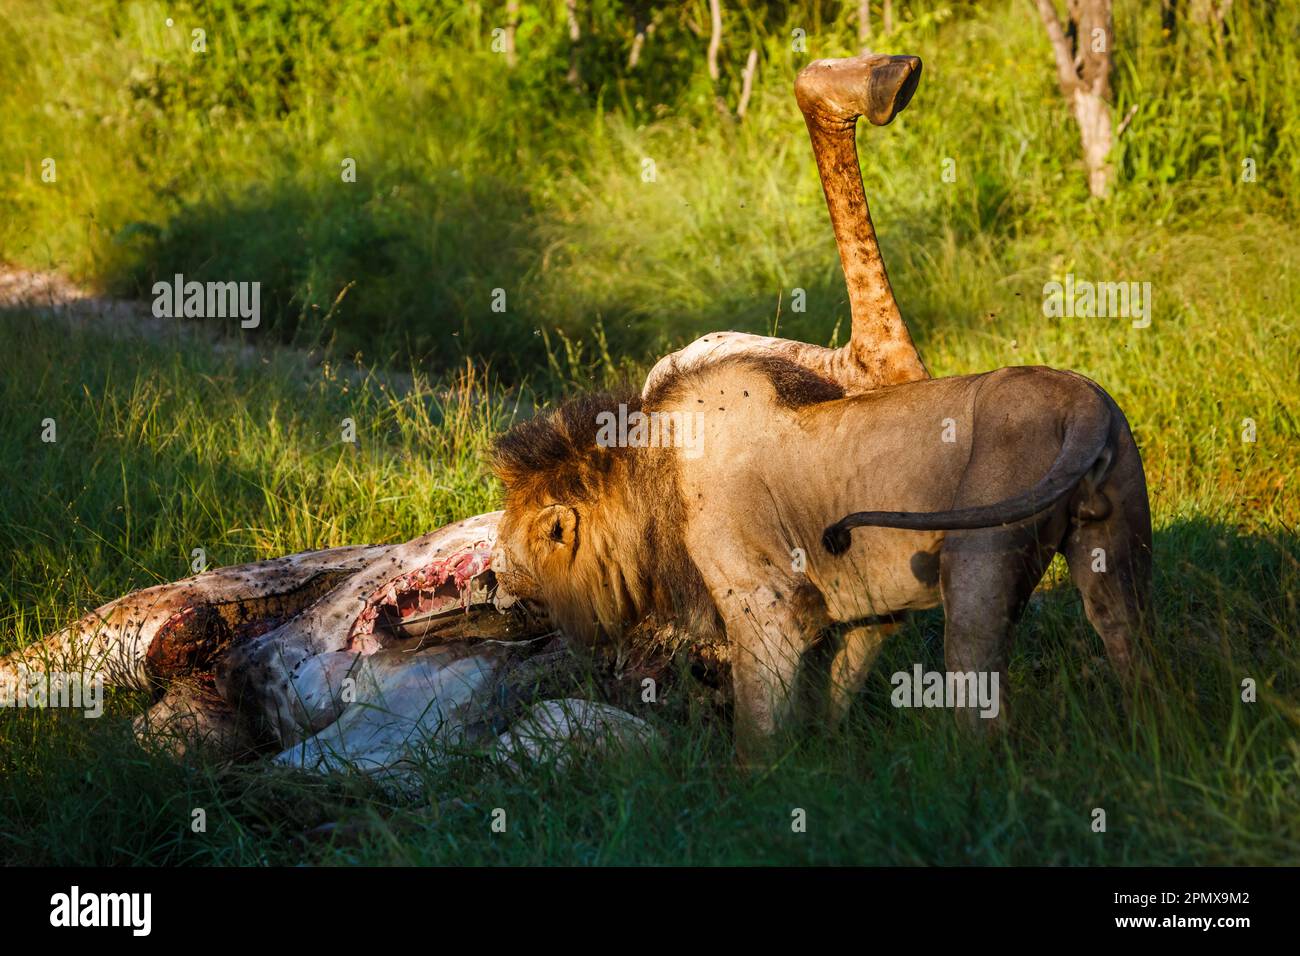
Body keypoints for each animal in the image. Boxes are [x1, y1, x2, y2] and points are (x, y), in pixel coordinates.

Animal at [491, 356, 1154, 764]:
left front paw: (752, 792)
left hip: (980, 559)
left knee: (979, 677)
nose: (496, 581)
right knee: (1128, 638)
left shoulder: (766, 608)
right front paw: (829, 761)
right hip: (1118, 535)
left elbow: (758, 717)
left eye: (517, 553)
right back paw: (1151, 735)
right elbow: (834, 687)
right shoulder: (861, 609)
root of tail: (1080, 401)